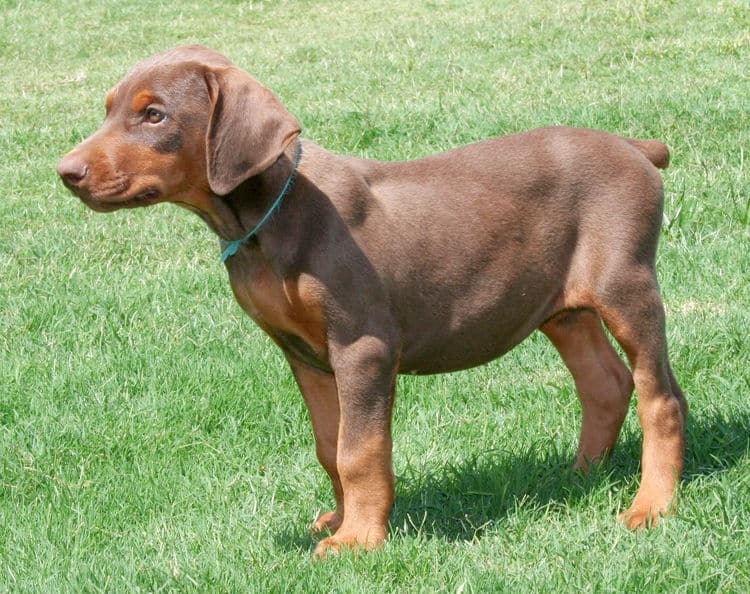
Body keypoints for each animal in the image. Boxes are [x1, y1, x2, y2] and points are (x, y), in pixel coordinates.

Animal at [57, 45, 688, 556]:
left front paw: (358, 539)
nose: (66, 172)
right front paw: (342, 520)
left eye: (154, 114)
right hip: (560, 306)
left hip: (627, 288)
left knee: (661, 397)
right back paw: (579, 476)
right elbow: (329, 446)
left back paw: (651, 505)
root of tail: (632, 145)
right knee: (605, 381)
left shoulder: (362, 347)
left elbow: (359, 450)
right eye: (109, 109)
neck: (269, 218)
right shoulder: (305, 355)